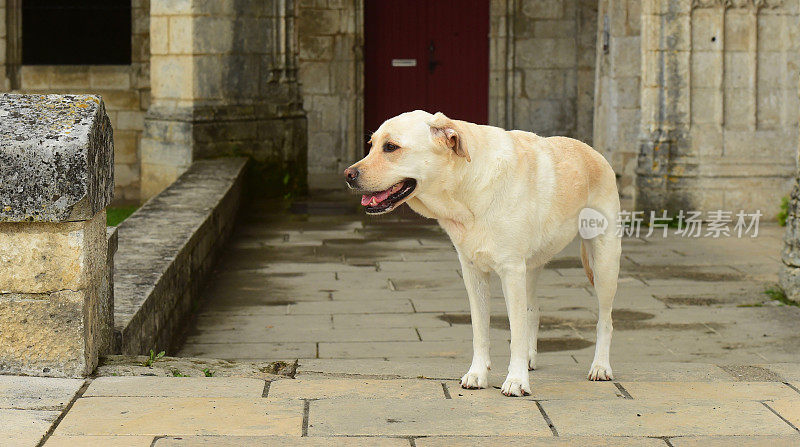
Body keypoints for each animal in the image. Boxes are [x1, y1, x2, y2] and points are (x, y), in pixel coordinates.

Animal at [342, 110, 620, 398]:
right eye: (371, 145)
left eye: (391, 147)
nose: (348, 174)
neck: (467, 187)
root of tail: (593, 151)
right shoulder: (473, 271)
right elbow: (480, 330)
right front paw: (478, 374)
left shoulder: (511, 271)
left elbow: (515, 332)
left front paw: (516, 380)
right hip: (532, 267)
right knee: (533, 310)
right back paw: (531, 358)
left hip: (604, 263)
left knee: (606, 320)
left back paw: (600, 367)